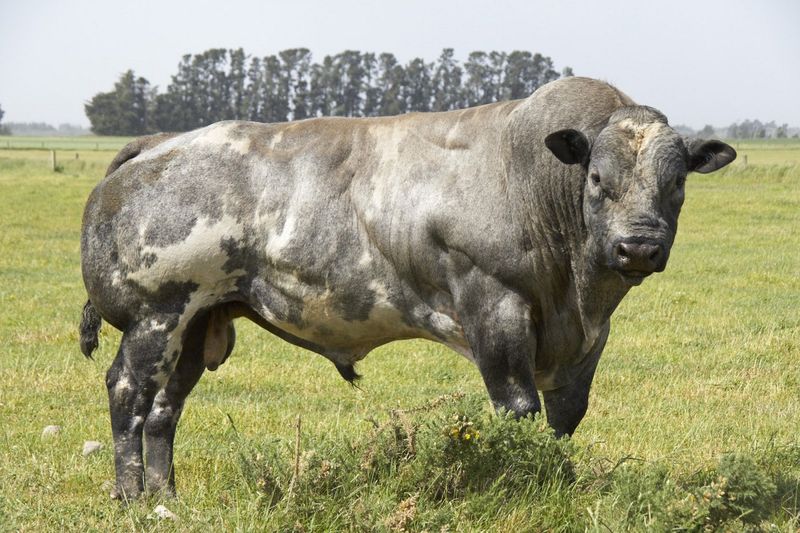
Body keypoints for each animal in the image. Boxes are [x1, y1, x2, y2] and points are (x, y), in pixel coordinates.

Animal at [78, 76, 736, 498]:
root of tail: (158, 145)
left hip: (195, 322)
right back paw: (132, 496)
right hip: (157, 315)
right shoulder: (494, 307)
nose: (638, 247)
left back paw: (167, 493)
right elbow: (517, 409)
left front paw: (562, 482)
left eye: (677, 183)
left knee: (165, 407)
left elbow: (565, 416)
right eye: (597, 179)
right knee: (128, 392)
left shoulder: (585, 341)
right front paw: (523, 482)